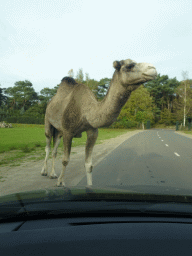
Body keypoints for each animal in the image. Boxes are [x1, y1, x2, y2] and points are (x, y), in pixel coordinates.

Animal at [41, 60, 157, 188]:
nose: (153, 69)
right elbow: (65, 160)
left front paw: (89, 186)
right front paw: (60, 182)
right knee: (47, 146)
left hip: (59, 131)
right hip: (48, 122)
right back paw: (44, 172)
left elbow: (89, 164)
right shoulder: (68, 131)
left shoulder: (92, 131)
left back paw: (53, 174)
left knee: (55, 150)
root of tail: (50, 102)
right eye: (129, 66)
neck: (86, 111)